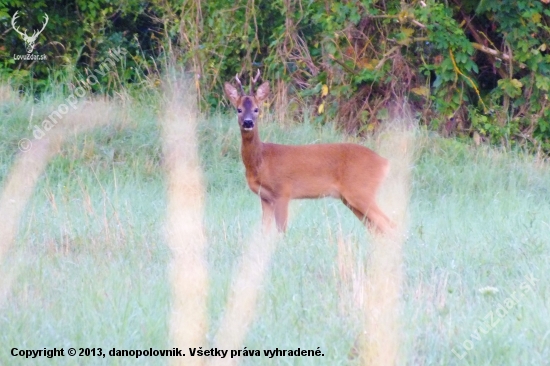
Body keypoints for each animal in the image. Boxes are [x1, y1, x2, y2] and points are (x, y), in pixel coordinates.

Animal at [226, 70, 394, 233]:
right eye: (239, 109)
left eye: (256, 109)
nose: (248, 122)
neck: (261, 161)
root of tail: (384, 162)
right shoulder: (265, 198)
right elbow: (264, 232)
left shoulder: (283, 192)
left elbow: (281, 230)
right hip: (351, 198)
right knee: (376, 228)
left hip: (360, 191)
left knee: (388, 224)